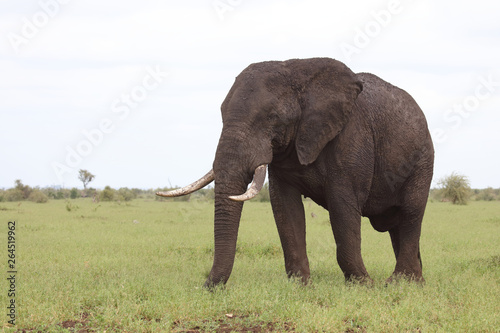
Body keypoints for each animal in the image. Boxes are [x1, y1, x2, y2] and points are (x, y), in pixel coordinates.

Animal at [157, 56, 434, 286]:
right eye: (222, 115)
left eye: (272, 117)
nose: (207, 286)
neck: (296, 70)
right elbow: (285, 208)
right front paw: (300, 285)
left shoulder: (352, 138)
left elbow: (343, 207)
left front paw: (363, 285)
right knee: (398, 224)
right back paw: (416, 281)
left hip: (422, 161)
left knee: (410, 213)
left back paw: (400, 283)